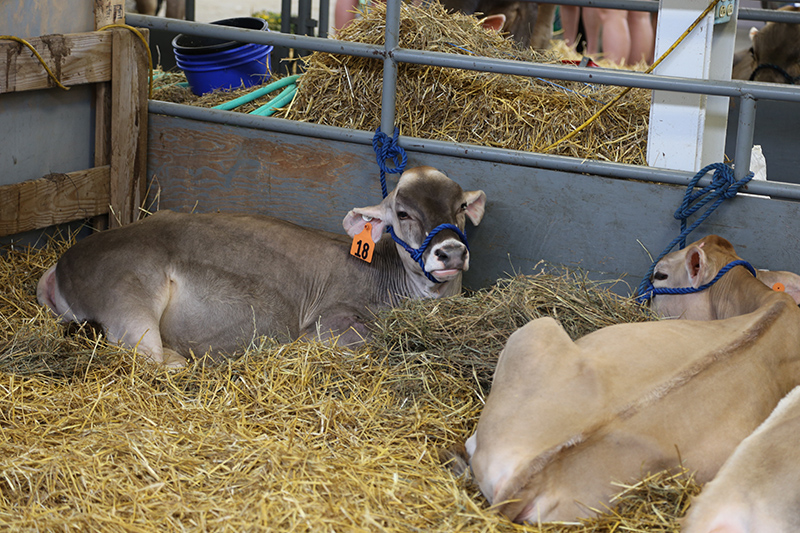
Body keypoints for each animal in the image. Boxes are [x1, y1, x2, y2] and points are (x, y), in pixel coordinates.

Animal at [37, 166, 484, 366]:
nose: (449, 252)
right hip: (129, 299)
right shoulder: (331, 320)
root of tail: (66, 258)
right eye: (403, 213)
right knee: (153, 359)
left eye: (461, 207)